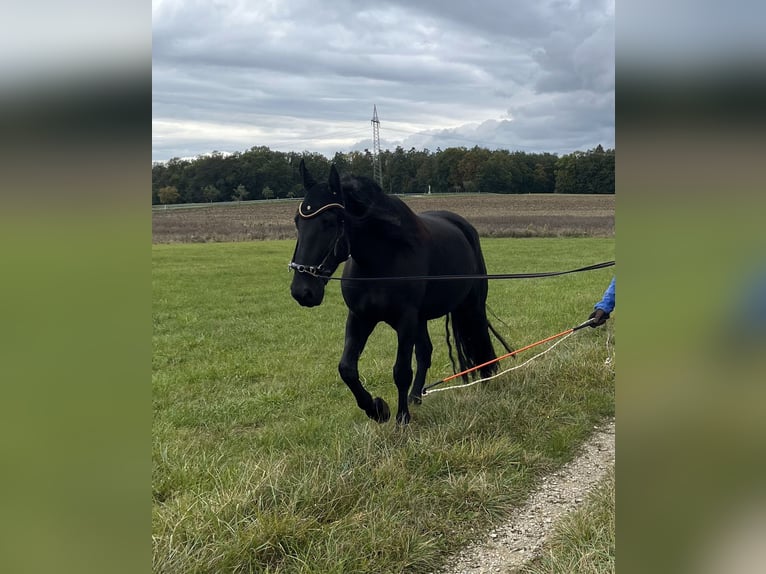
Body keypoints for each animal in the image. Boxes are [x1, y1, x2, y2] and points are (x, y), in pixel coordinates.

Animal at [288, 161, 510, 424]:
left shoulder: (405, 319)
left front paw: (401, 418)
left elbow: (401, 371)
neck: (381, 262)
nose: (302, 291)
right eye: (297, 221)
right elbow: (347, 368)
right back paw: (416, 396)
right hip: (421, 319)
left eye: (330, 222)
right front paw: (376, 409)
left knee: (476, 338)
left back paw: (485, 377)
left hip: (470, 305)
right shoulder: (360, 317)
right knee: (425, 352)